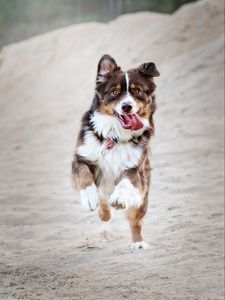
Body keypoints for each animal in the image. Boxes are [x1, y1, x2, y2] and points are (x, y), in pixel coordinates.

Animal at [71, 54, 159, 251]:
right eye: (115, 92)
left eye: (137, 91)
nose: (127, 106)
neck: (115, 136)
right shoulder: (81, 158)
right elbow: (84, 175)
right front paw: (89, 197)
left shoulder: (136, 168)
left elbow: (125, 181)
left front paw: (118, 198)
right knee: (103, 201)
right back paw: (103, 211)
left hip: (142, 196)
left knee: (136, 221)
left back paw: (138, 242)